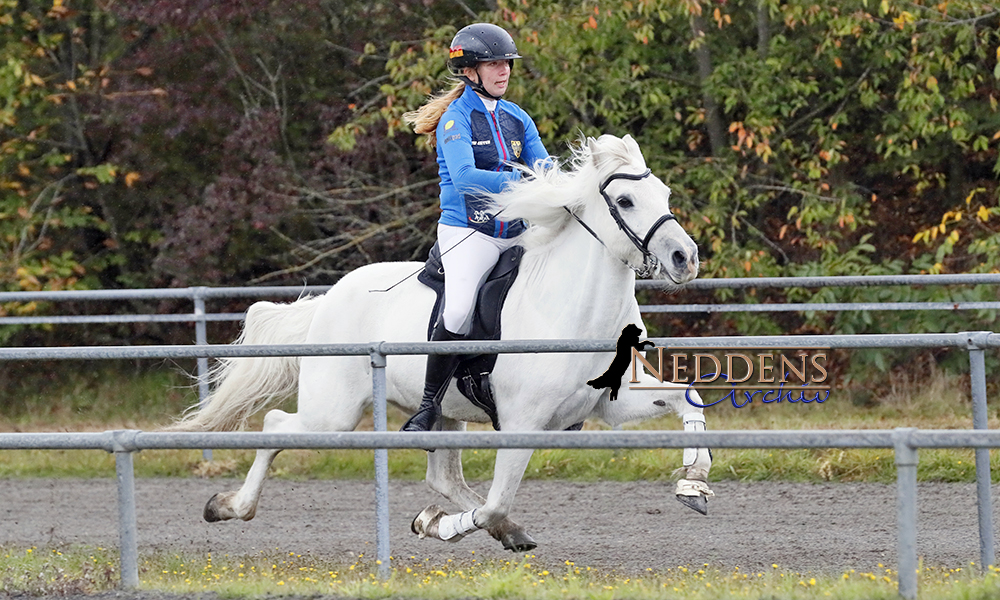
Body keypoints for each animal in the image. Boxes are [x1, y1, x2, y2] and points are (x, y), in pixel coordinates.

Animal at [174, 134, 720, 552]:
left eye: (665, 193)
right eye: (625, 202)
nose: (685, 258)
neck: (571, 309)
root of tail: (331, 297)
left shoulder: (610, 405)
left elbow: (685, 397)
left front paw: (693, 482)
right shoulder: (520, 424)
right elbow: (496, 500)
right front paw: (434, 524)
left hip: (438, 411)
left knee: (443, 477)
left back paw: (505, 531)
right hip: (333, 414)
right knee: (274, 426)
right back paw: (227, 506)